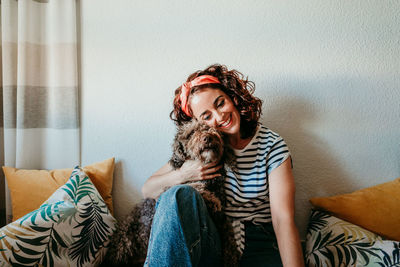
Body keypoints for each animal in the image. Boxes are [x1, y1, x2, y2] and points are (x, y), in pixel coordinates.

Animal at [104, 121, 241, 267]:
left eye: (212, 129)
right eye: (191, 133)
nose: (208, 137)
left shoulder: (221, 218)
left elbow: (229, 236)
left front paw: (232, 257)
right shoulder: (170, 187)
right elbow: (193, 187)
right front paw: (211, 199)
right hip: (124, 244)